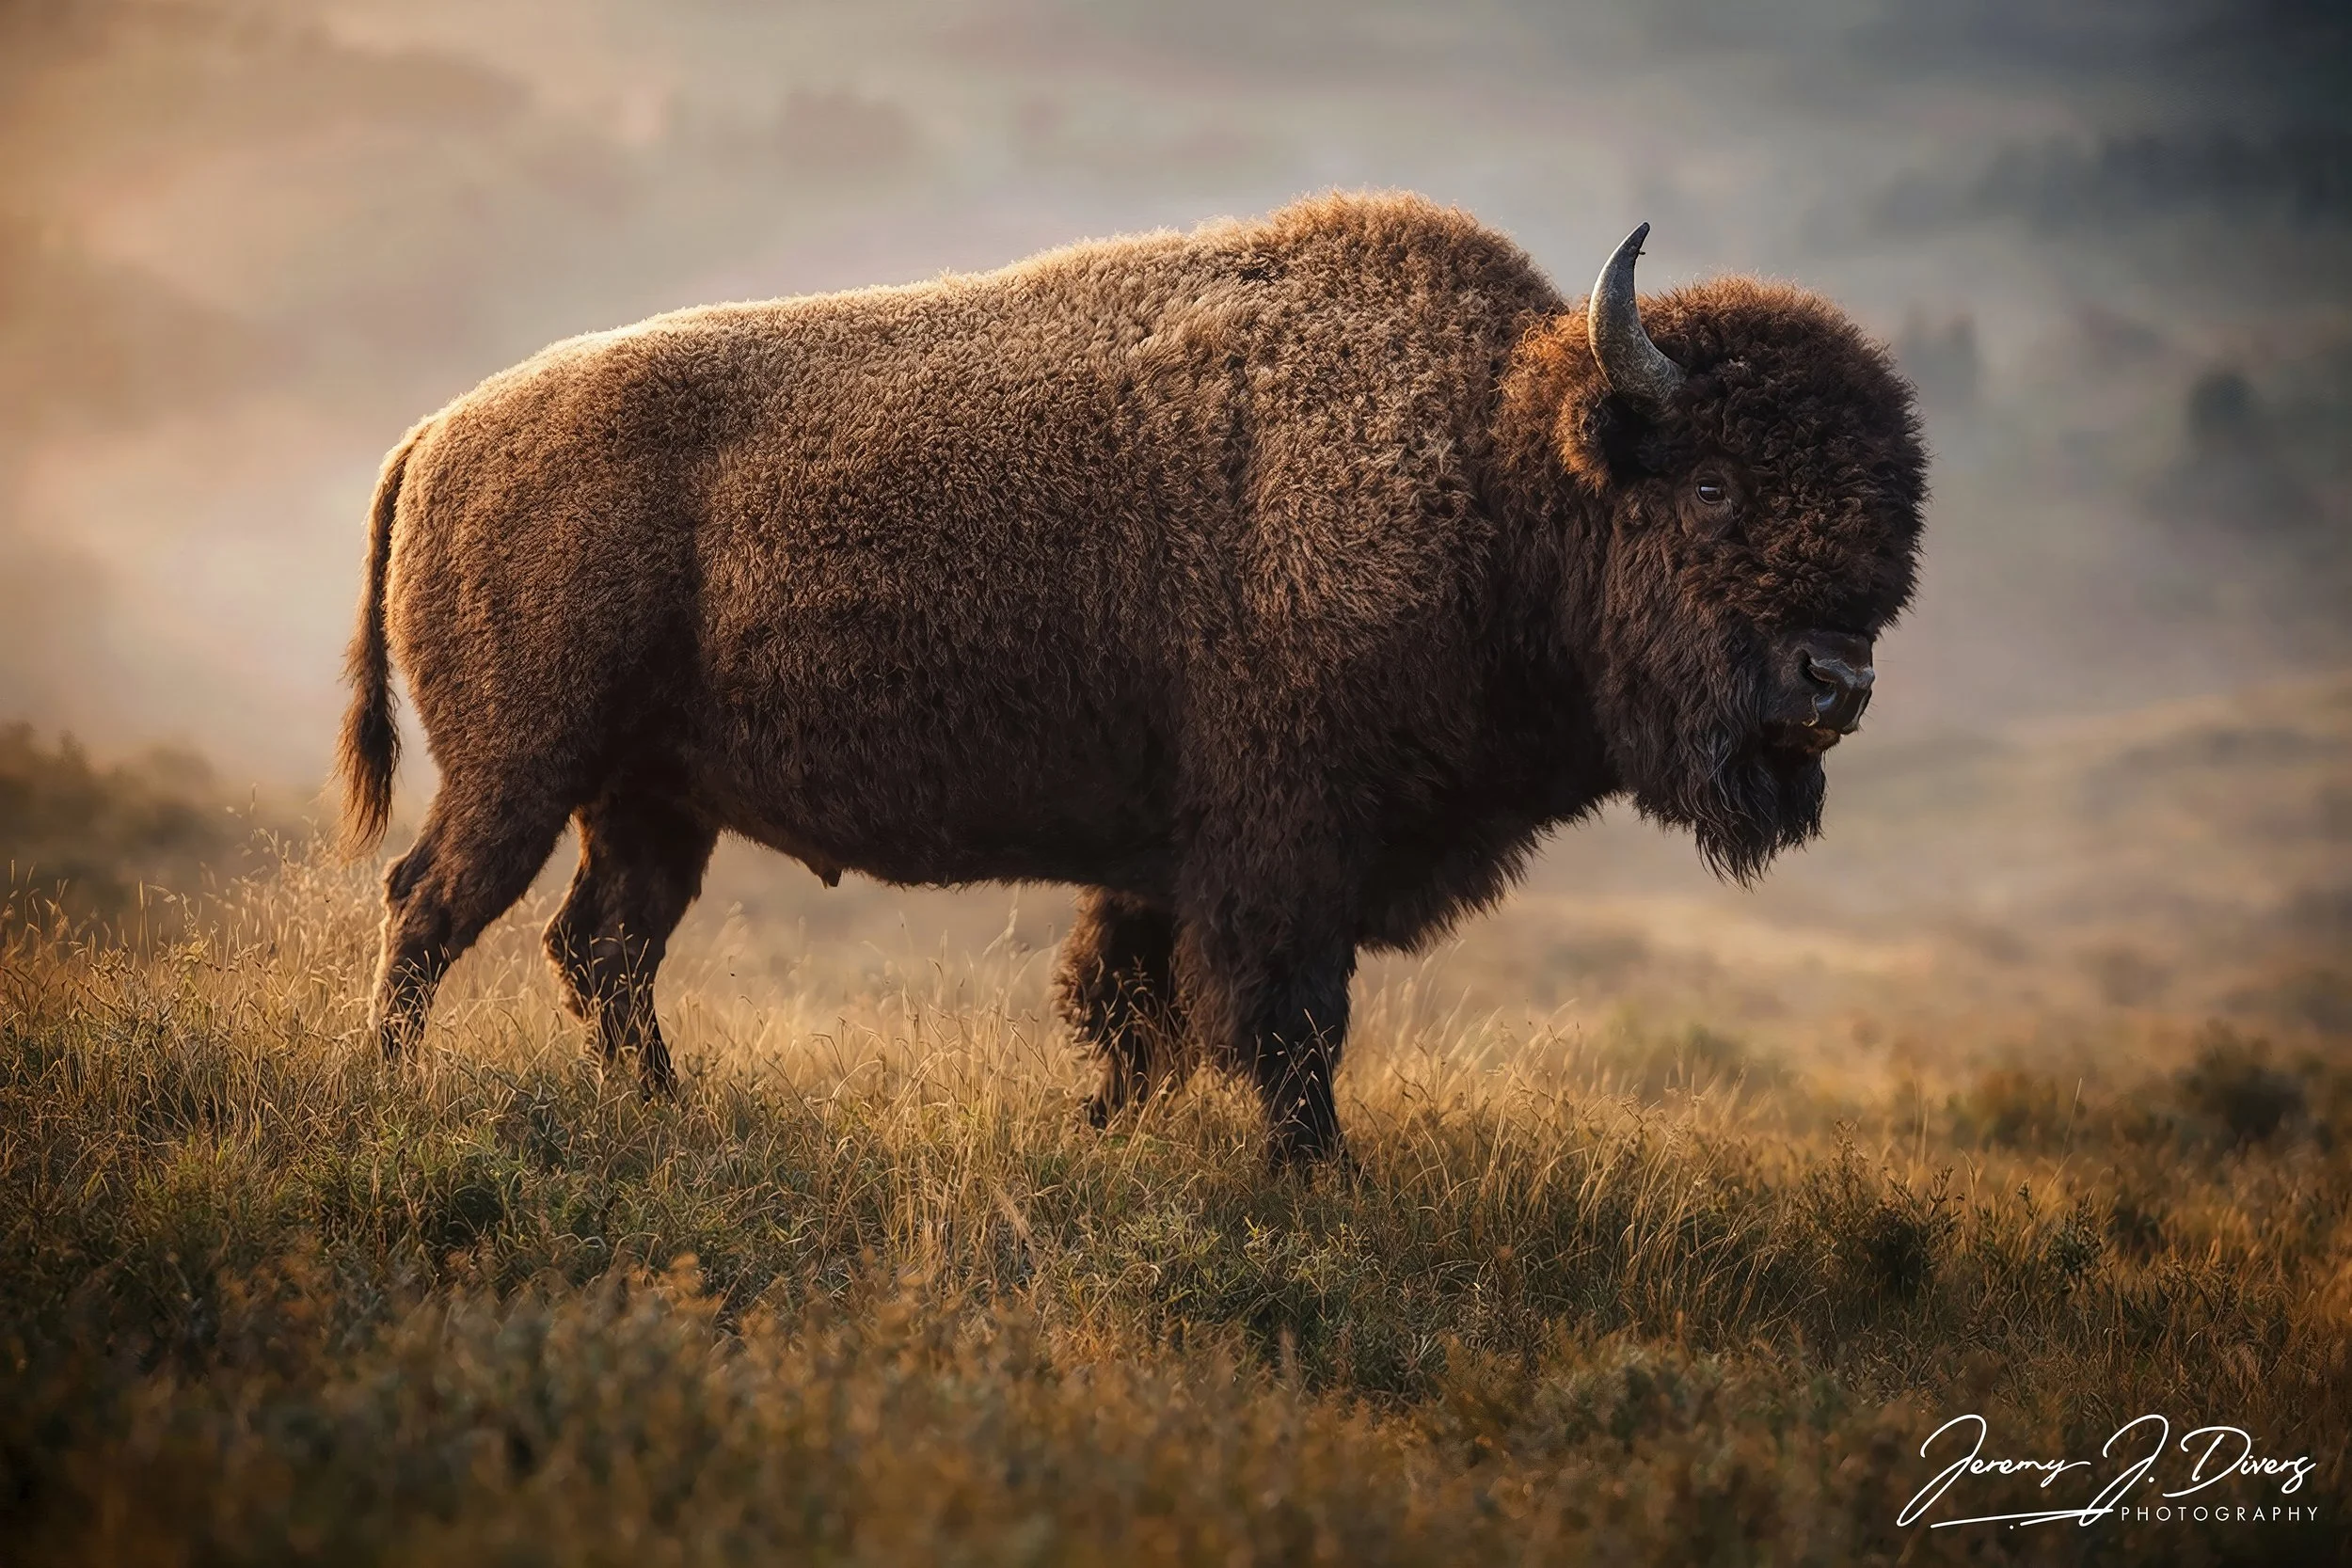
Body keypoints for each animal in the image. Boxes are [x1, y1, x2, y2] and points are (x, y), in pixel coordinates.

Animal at [338, 192, 1925, 1164]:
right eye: (1713, 484)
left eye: (1891, 518)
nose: (1833, 681)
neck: (1493, 467)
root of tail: (439, 431)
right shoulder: (1286, 844)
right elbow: (1283, 1019)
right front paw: (1321, 1179)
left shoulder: (1172, 863)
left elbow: (1137, 1014)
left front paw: (1098, 1135)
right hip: (522, 767)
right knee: (434, 903)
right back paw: (394, 1085)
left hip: (651, 800)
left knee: (603, 945)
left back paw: (669, 1108)